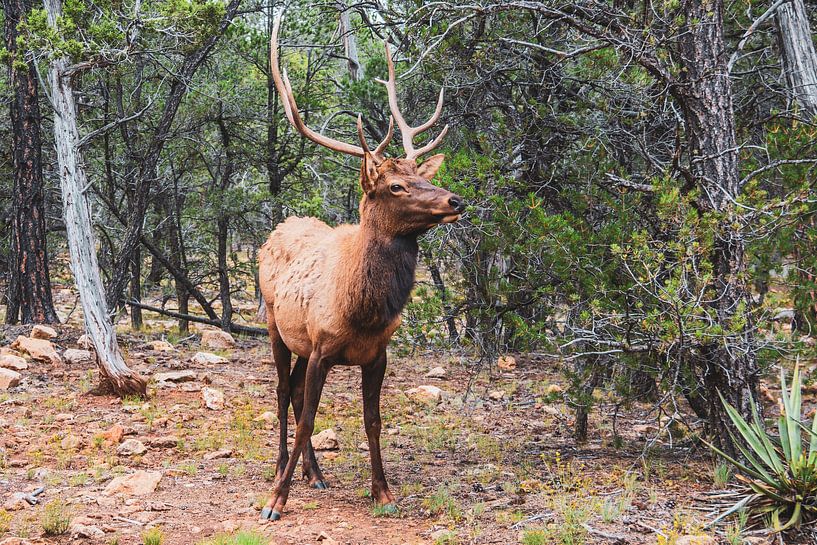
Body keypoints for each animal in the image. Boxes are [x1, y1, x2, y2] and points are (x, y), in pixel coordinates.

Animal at [258, 14, 462, 520]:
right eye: (394, 186)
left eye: (421, 176)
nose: (455, 200)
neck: (362, 310)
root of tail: (279, 227)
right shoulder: (321, 345)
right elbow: (309, 418)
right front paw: (275, 500)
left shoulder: (377, 353)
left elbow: (373, 420)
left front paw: (383, 492)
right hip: (275, 325)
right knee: (281, 394)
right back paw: (281, 470)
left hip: (301, 343)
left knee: (292, 392)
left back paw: (315, 474)